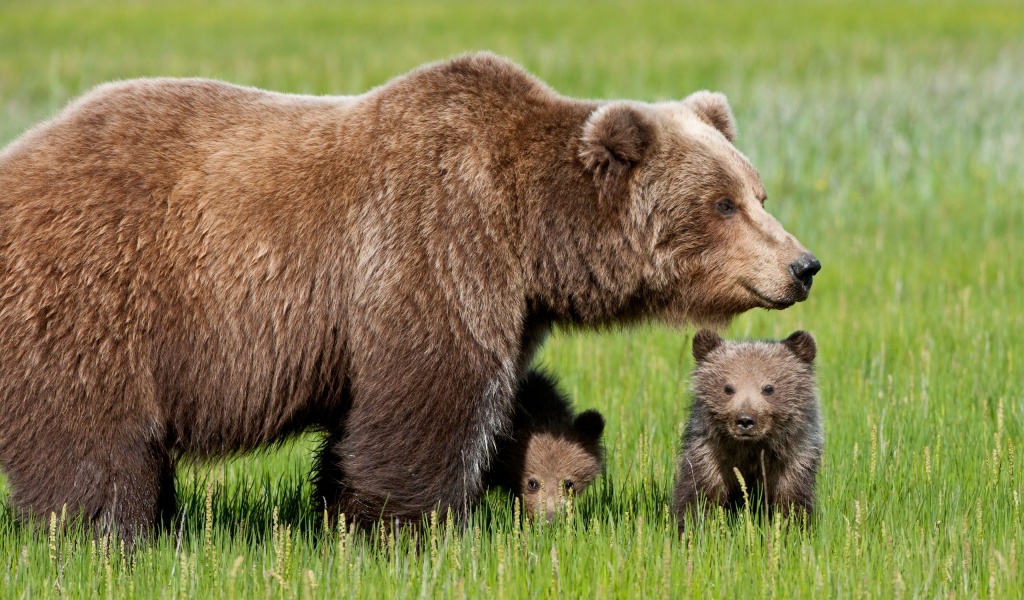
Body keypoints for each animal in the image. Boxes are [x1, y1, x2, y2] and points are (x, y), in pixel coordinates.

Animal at [671, 327, 823, 528]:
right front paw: (691, 527)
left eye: (769, 388)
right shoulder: (710, 455)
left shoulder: (793, 458)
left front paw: (791, 526)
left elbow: (791, 500)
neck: (750, 449)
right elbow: (699, 495)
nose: (745, 420)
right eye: (728, 388)